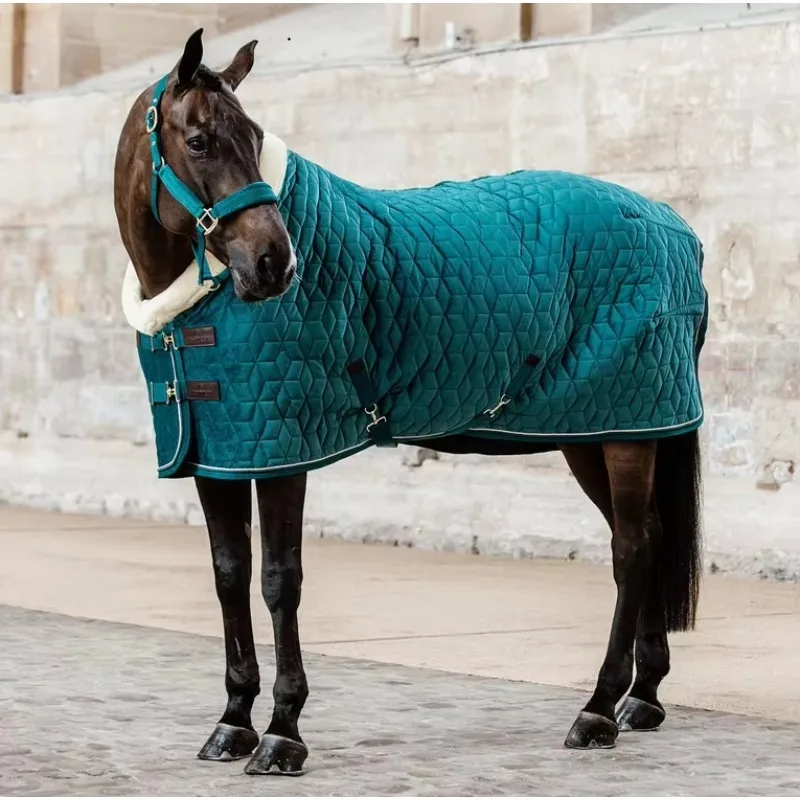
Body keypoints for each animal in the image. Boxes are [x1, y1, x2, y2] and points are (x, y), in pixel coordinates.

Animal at [113, 29, 706, 776]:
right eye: (198, 140)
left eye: (254, 137)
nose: (276, 263)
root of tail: (674, 225)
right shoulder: (220, 454)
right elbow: (229, 575)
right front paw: (232, 721)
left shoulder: (281, 452)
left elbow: (279, 580)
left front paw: (282, 732)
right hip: (598, 428)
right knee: (648, 538)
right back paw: (642, 697)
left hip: (629, 426)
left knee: (630, 548)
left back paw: (597, 710)